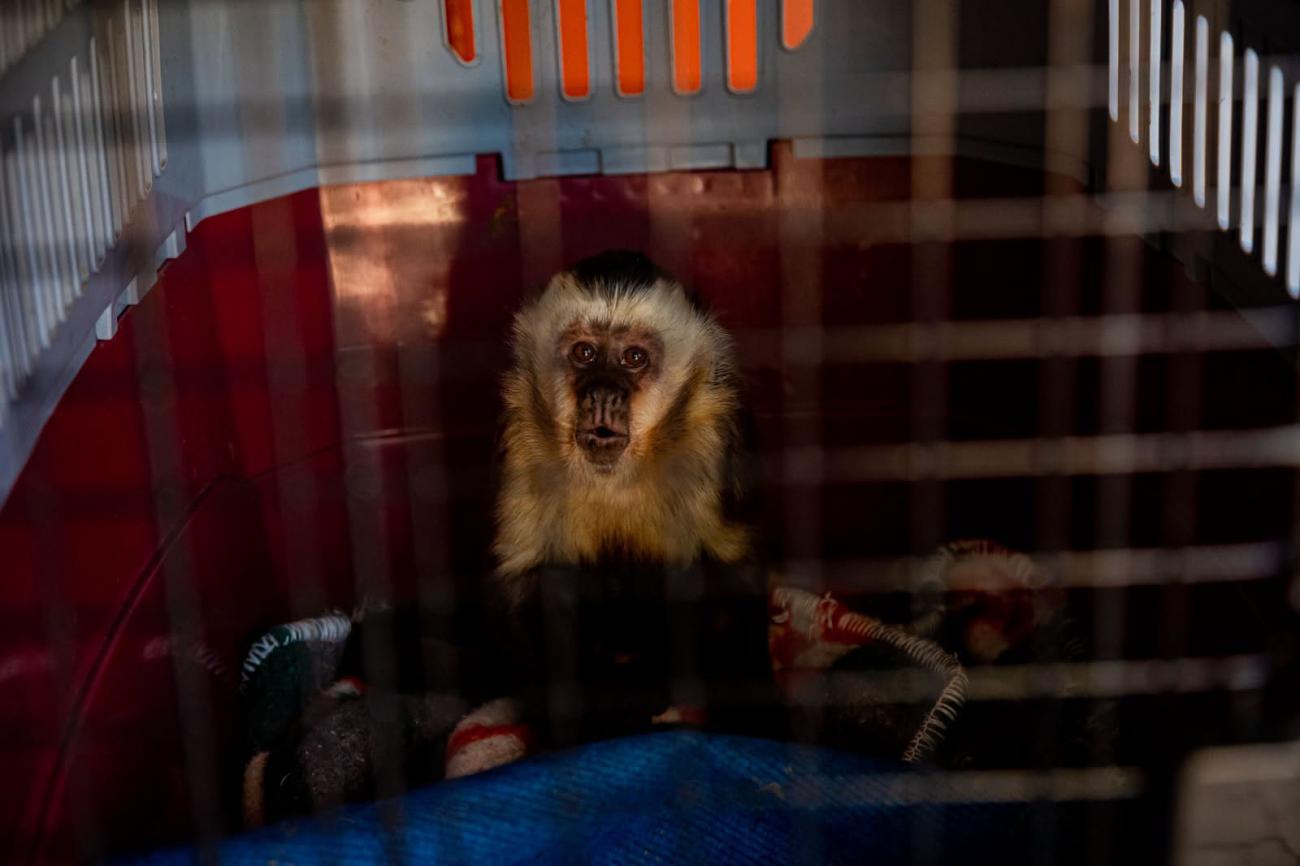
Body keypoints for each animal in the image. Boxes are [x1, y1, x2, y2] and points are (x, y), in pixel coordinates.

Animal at [484, 250, 787, 749]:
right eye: (585, 352)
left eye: (633, 358)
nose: (603, 393)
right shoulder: (520, 433)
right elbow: (532, 581)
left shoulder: (716, 434)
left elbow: (733, 573)